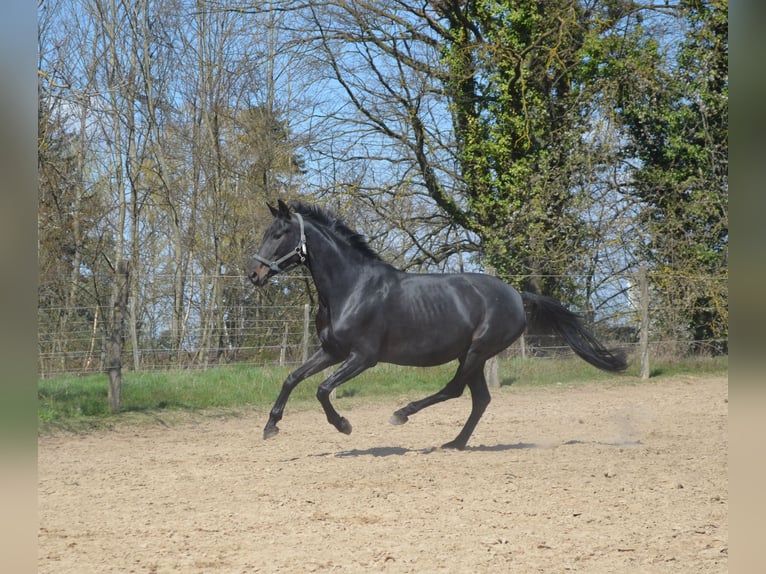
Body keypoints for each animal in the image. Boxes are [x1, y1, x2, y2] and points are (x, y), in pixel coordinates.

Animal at [248, 200, 626, 450]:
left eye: (280, 233)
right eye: (266, 231)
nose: (255, 274)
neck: (351, 287)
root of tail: (517, 295)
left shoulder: (362, 357)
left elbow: (323, 388)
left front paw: (343, 425)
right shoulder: (332, 351)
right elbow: (293, 378)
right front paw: (270, 427)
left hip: (477, 351)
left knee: (455, 390)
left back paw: (402, 415)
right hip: (472, 355)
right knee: (480, 399)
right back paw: (454, 443)